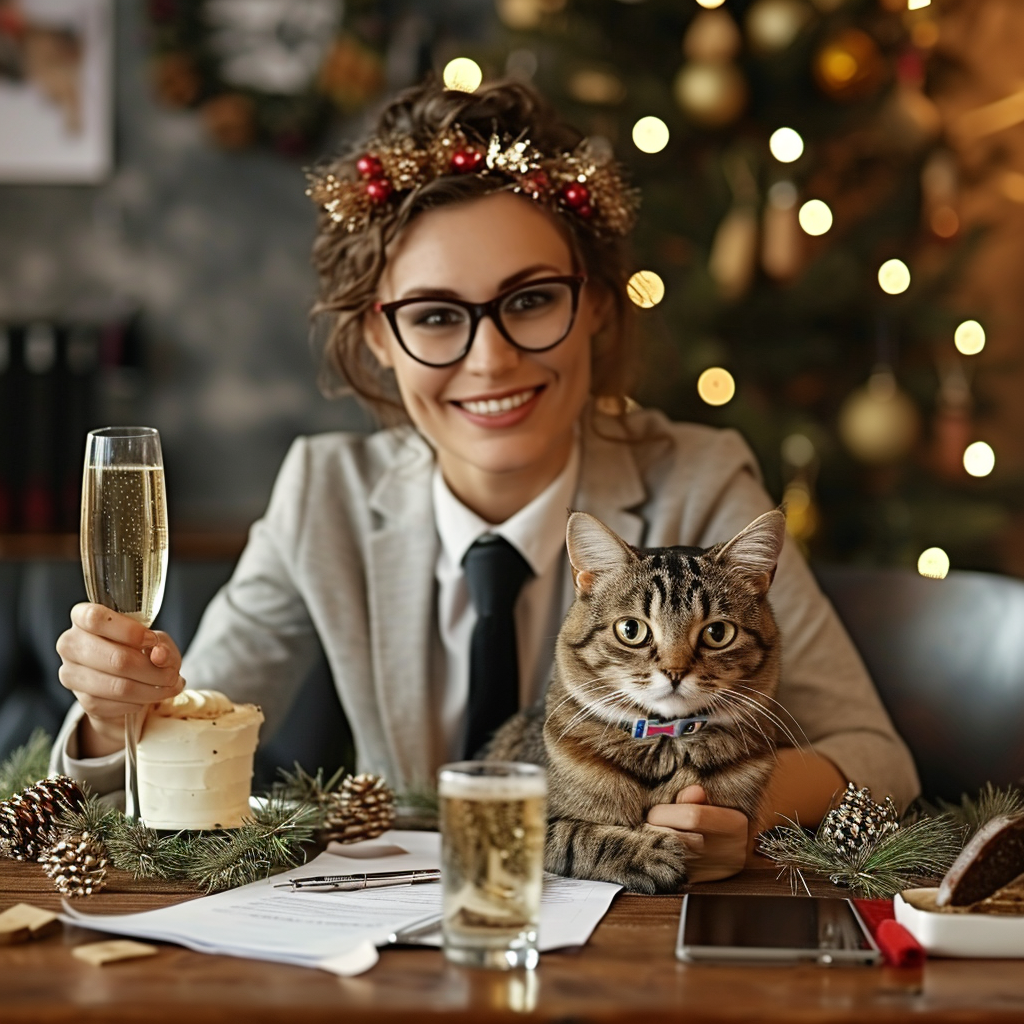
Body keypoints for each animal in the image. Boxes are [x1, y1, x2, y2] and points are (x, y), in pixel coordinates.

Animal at [485, 507, 782, 892]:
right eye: (631, 630)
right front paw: (649, 853)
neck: (665, 746)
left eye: (717, 633)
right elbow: (578, 835)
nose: (675, 671)